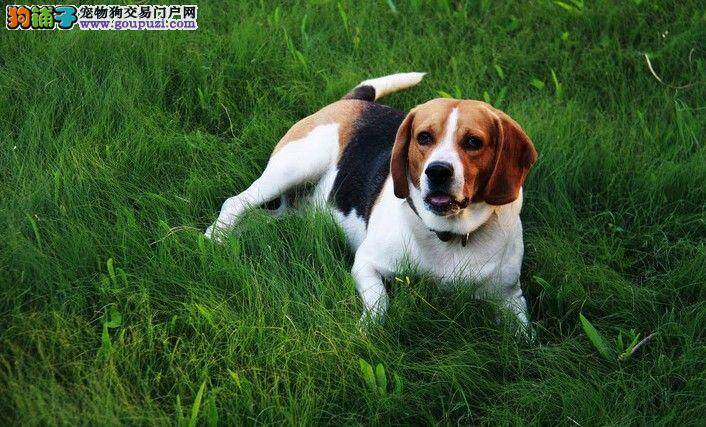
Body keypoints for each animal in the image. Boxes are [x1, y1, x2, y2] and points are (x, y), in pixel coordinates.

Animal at [206, 73, 536, 328]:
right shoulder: (366, 264)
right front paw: (368, 329)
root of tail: (350, 102)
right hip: (295, 166)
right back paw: (215, 239)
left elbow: (525, 336)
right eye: (424, 137)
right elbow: (380, 303)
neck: (449, 235)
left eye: (473, 142)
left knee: (263, 220)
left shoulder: (510, 297)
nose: (438, 171)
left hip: (291, 211)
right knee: (236, 202)